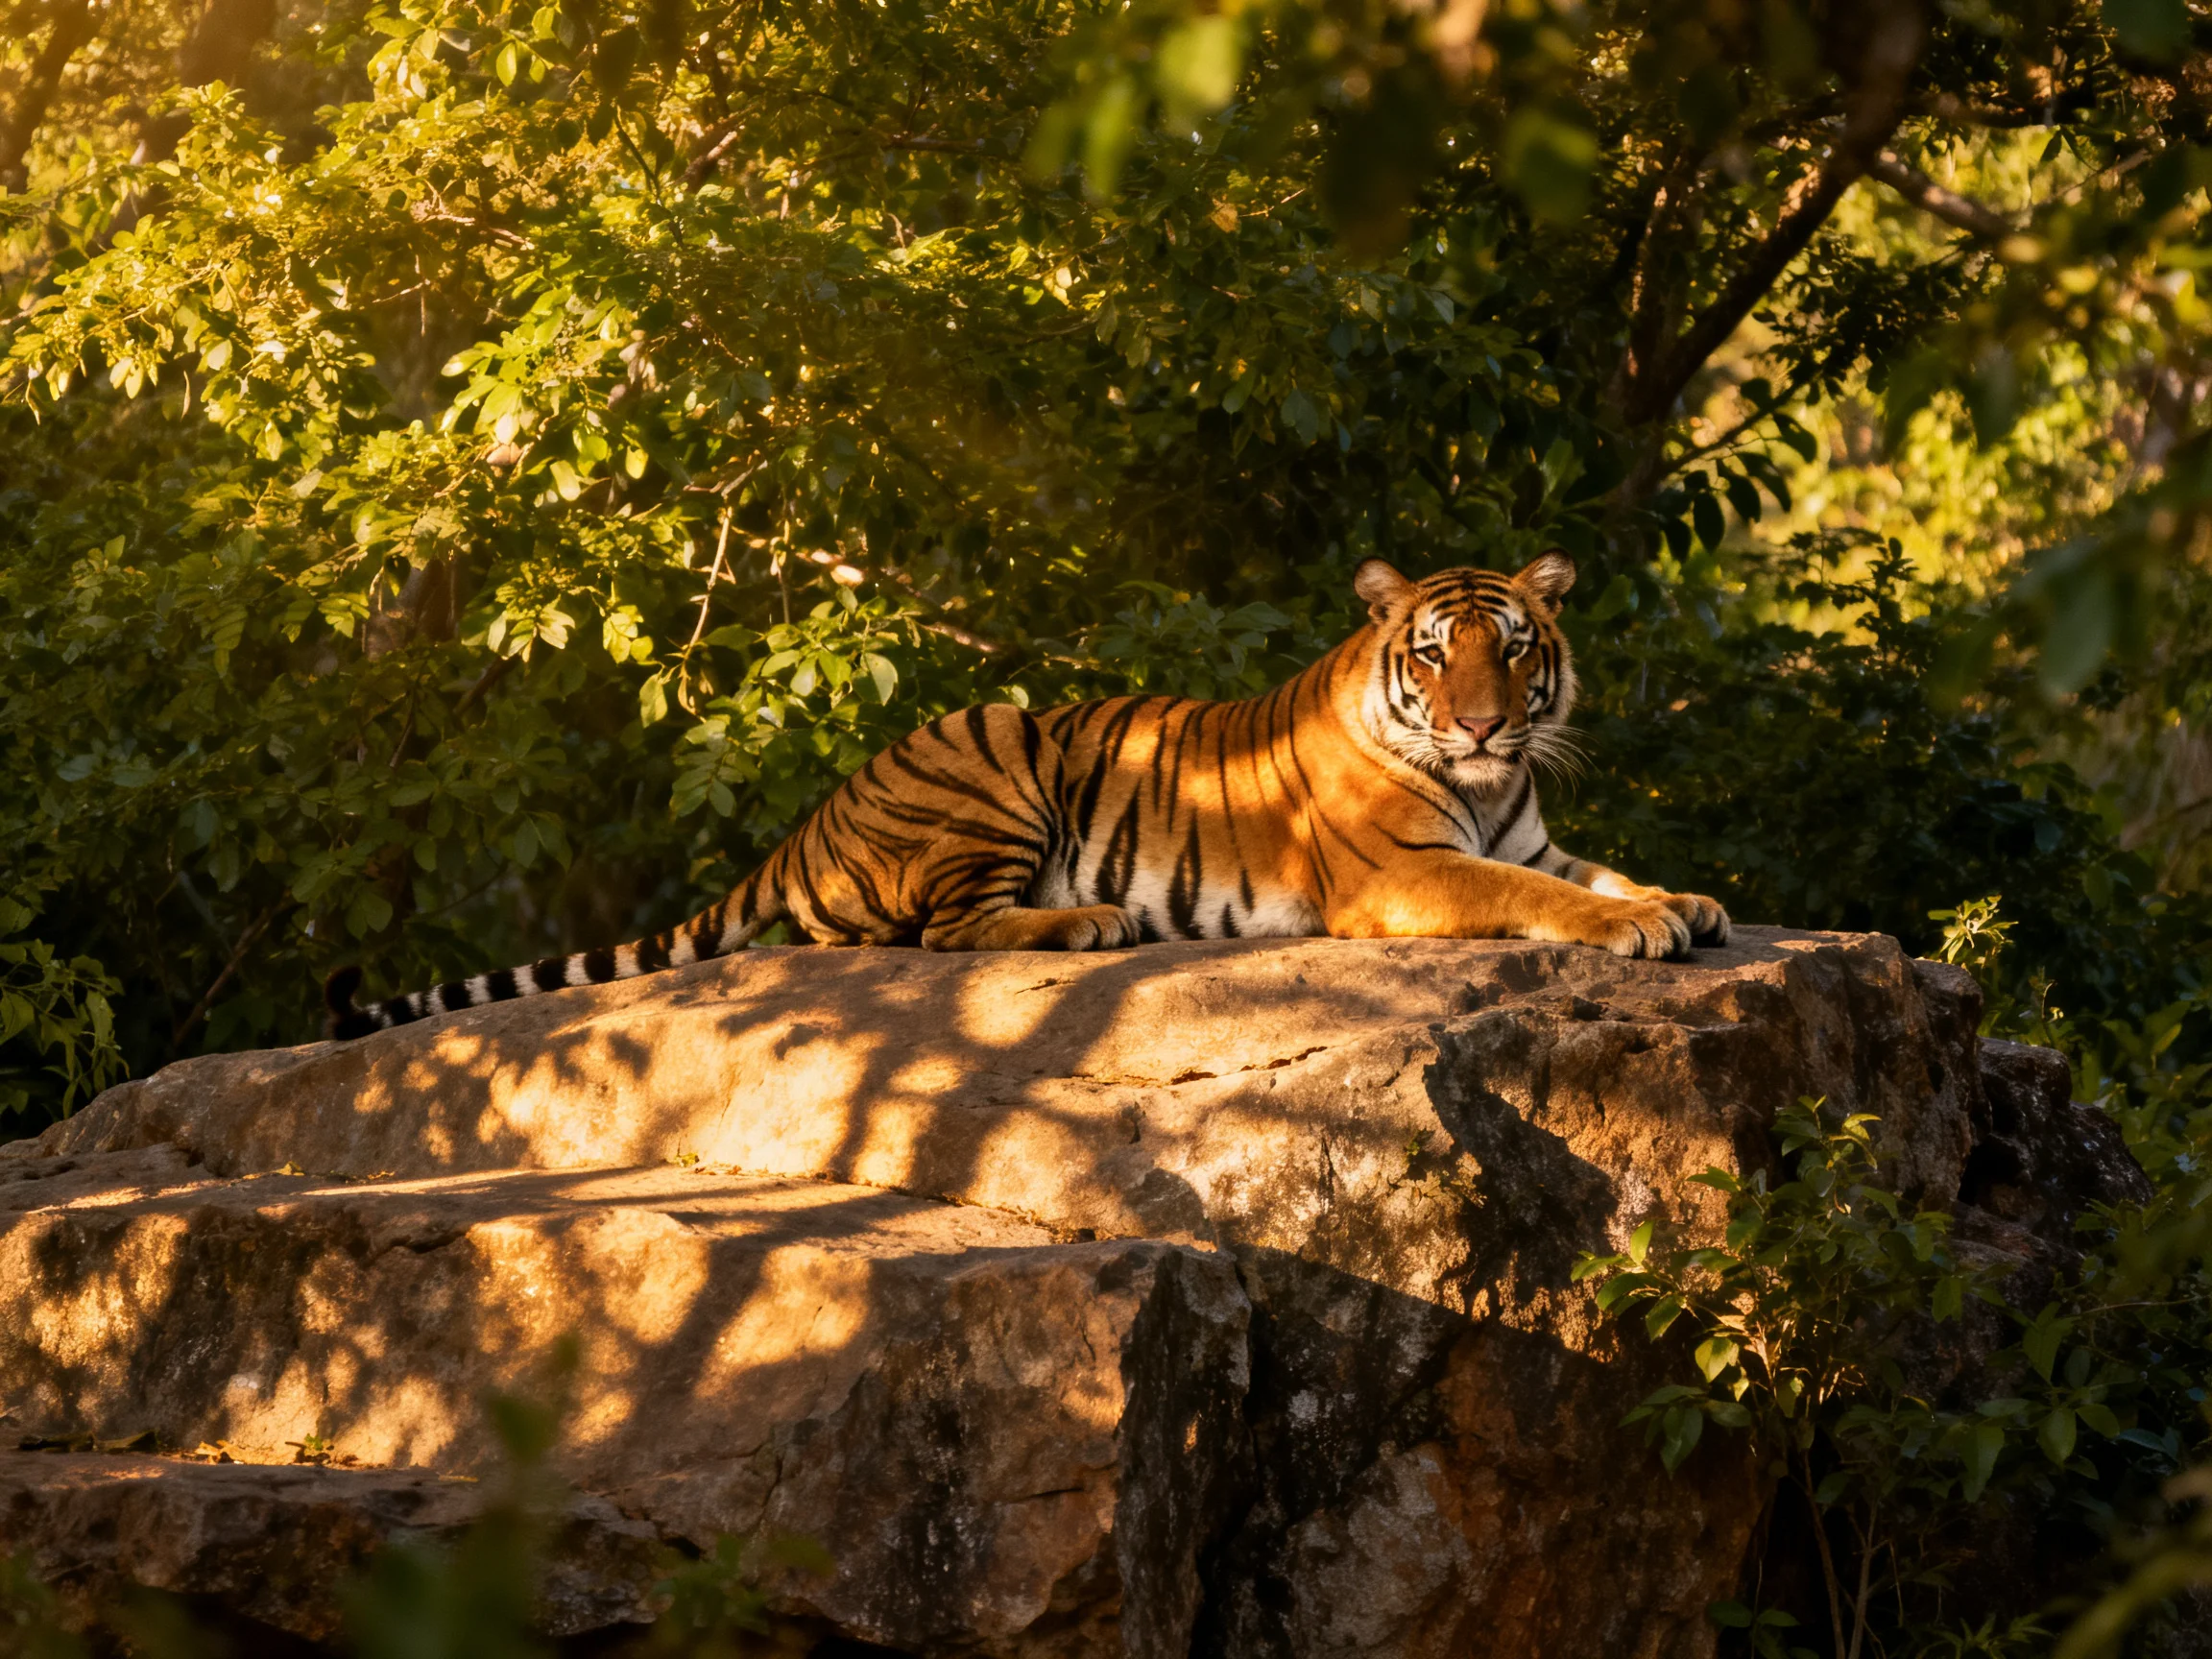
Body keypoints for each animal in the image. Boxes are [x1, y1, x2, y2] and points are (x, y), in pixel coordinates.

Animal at [324, 552, 1729, 1039]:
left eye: (1519, 649)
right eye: (1435, 656)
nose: (1485, 721)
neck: (1491, 784)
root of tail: (807, 819)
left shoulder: (1533, 837)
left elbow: (1595, 870)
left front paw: (1692, 900)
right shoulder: (1406, 873)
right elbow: (1546, 897)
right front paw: (1644, 925)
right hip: (994, 752)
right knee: (941, 932)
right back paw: (1095, 922)